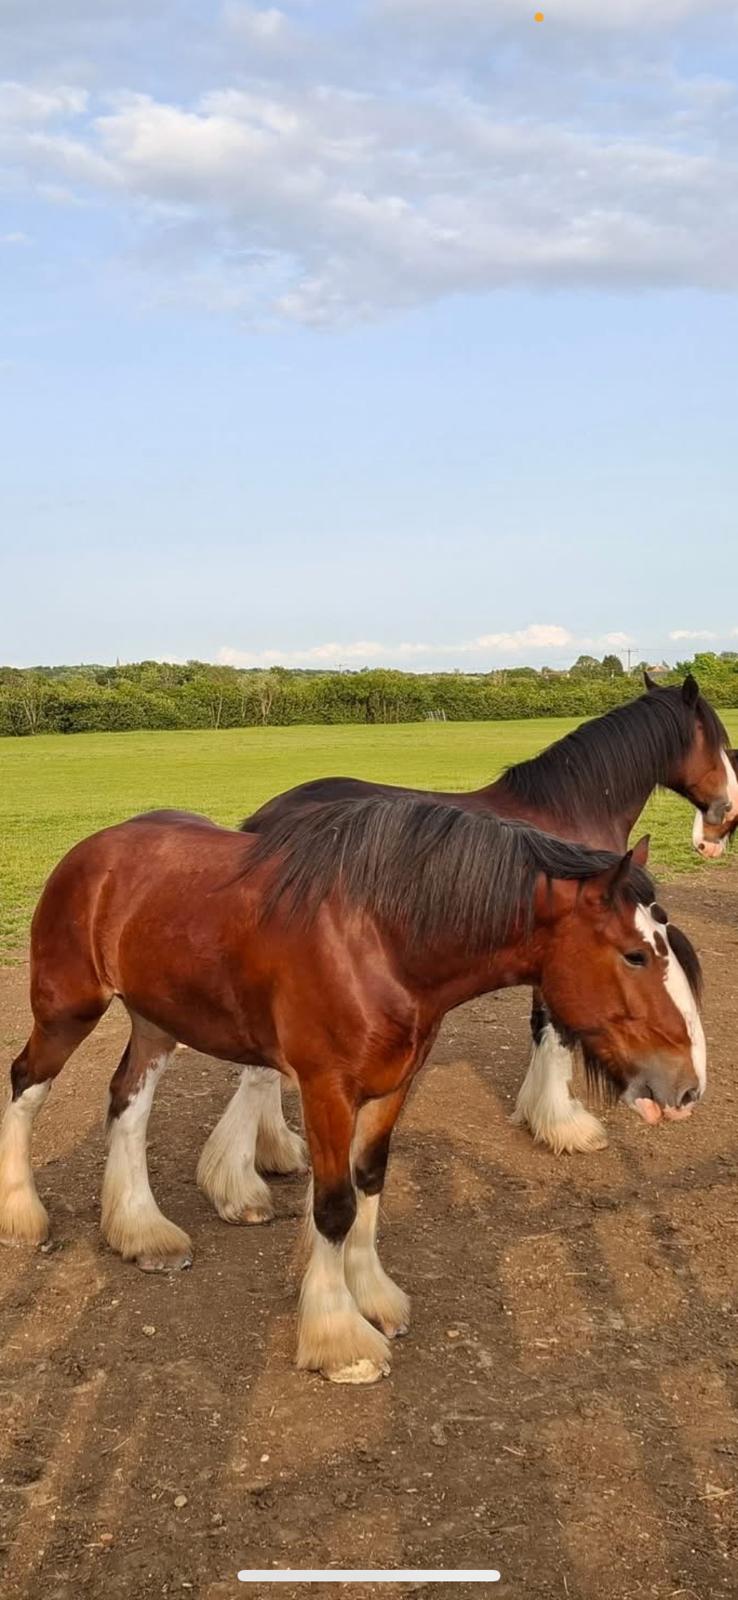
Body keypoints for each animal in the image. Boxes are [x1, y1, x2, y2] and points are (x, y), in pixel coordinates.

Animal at [0, 798, 704, 1384]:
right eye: (635, 955)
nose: (687, 1085)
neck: (380, 938)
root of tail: (95, 851)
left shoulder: (394, 1085)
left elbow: (369, 1181)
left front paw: (373, 1295)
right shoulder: (326, 1090)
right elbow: (334, 1207)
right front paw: (339, 1336)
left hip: (156, 1020)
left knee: (129, 1101)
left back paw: (141, 1230)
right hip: (67, 1008)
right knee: (26, 1084)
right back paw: (22, 1214)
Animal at [229, 674, 734, 1172]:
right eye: (721, 741)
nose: (722, 816)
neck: (571, 810)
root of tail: (263, 821)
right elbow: (554, 1031)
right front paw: (563, 1125)